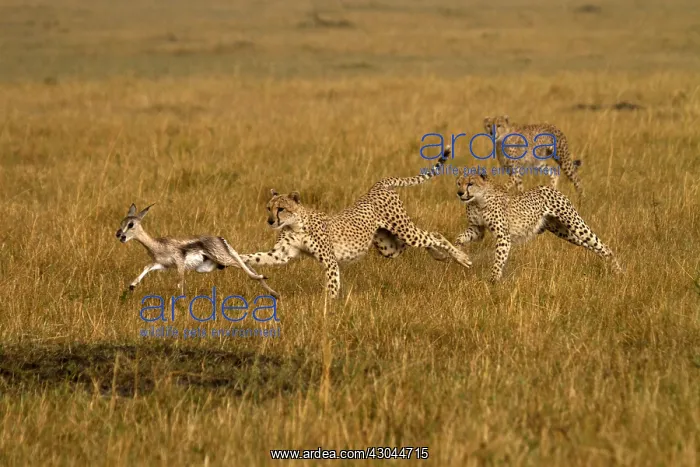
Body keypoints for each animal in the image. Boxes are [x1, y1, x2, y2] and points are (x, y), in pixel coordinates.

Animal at [115, 203, 279, 298]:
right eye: (122, 222)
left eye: (131, 224)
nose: (119, 235)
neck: (157, 245)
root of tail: (220, 238)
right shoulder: (161, 264)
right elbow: (146, 267)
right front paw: (132, 285)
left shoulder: (179, 263)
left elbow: (180, 283)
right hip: (214, 265)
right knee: (247, 262)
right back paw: (274, 293)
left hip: (223, 258)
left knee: (243, 264)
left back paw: (265, 281)